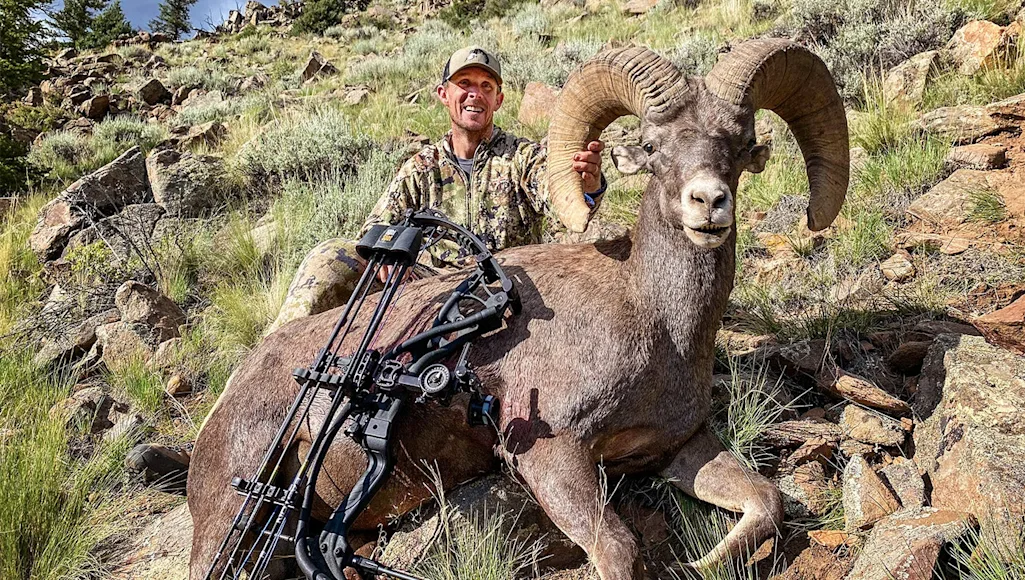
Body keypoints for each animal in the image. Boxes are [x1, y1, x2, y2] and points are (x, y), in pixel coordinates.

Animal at [187, 39, 849, 580]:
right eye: (653, 147)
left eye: (741, 144)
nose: (708, 203)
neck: (656, 320)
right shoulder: (551, 454)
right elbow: (616, 548)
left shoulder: (676, 448)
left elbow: (766, 502)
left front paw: (697, 564)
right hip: (230, 517)